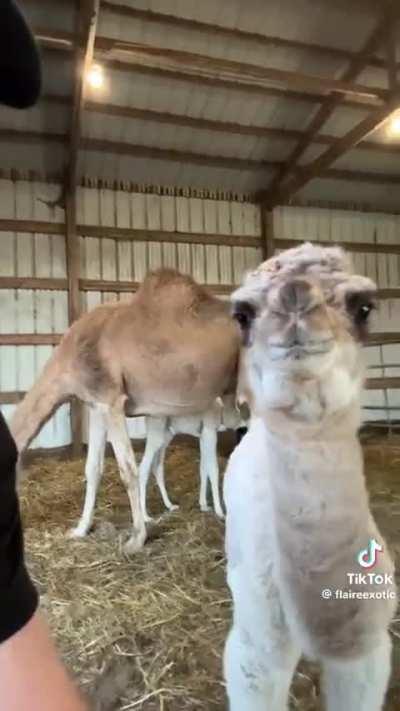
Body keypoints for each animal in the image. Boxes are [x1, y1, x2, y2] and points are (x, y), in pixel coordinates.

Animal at [11, 269, 240, 554]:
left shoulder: (112, 400)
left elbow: (128, 470)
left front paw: (136, 540)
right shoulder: (96, 404)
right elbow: (92, 468)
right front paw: (80, 530)